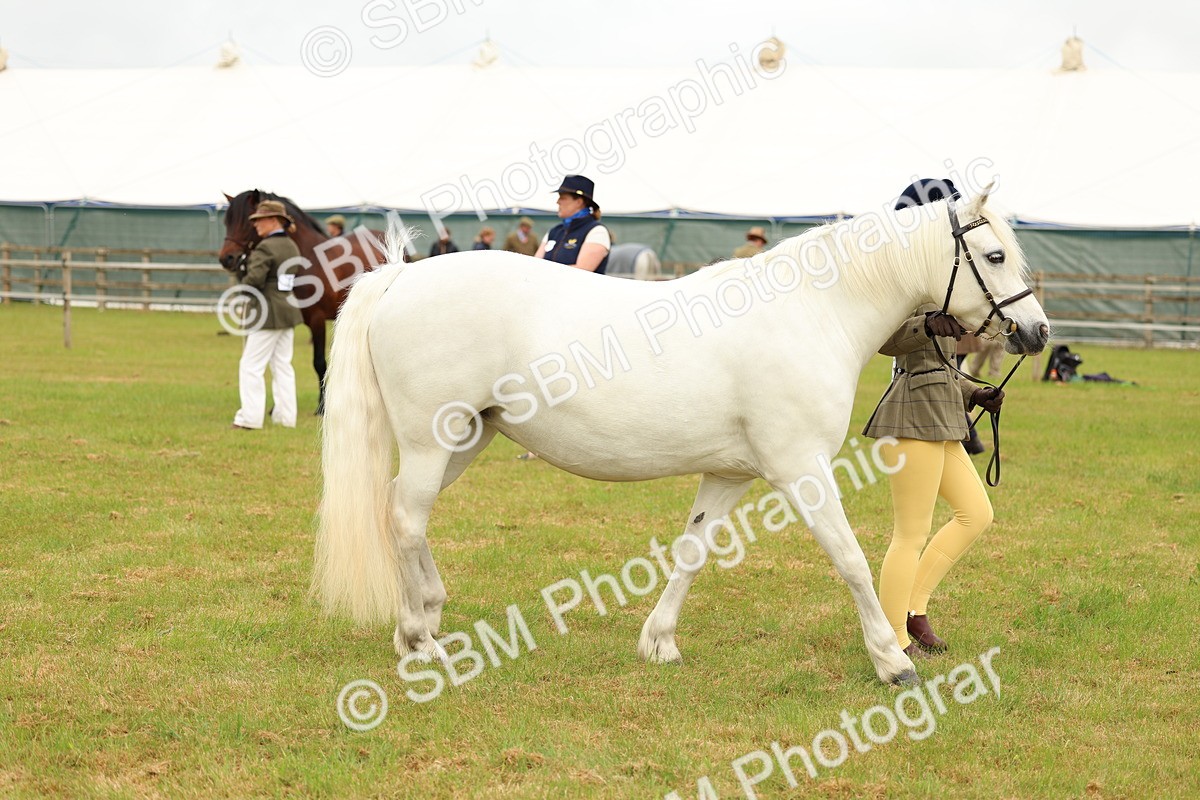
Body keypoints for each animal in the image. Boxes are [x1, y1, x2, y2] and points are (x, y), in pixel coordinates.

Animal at [218, 189, 386, 414]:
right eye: (227, 221)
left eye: (247, 221)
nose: (226, 258)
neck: (307, 259)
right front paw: (277, 408)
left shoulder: (316, 320)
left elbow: (319, 362)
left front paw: (321, 407)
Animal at [312, 187, 1050, 686]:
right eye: (993, 255)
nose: (1037, 332)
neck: (810, 312)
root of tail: (402, 275)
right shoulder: (801, 469)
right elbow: (850, 560)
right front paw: (893, 661)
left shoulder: (729, 474)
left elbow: (693, 552)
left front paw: (659, 641)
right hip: (433, 440)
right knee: (406, 518)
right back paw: (421, 637)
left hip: (466, 440)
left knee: (396, 508)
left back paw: (420, 625)